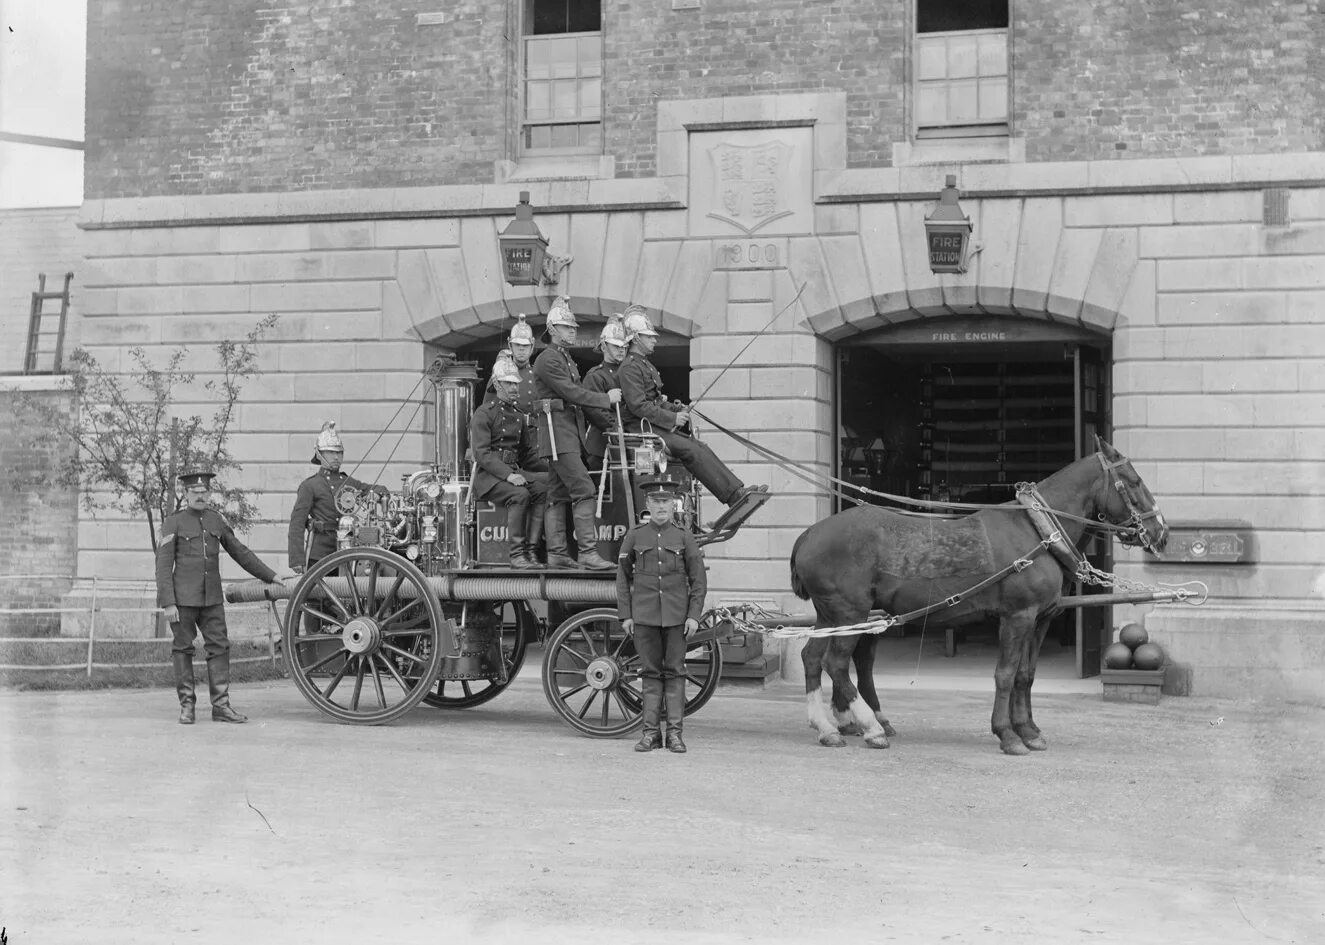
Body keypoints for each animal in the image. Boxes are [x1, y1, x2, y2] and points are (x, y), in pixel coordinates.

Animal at [789, 437, 1166, 758]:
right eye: (1133, 481)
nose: (1161, 531)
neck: (1038, 531)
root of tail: (809, 535)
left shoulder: (1039, 619)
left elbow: (1026, 675)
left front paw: (1029, 730)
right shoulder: (1017, 617)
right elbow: (1006, 674)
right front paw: (1008, 734)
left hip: (831, 616)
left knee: (813, 659)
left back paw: (827, 727)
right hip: (850, 613)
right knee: (836, 663)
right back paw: (870, 727)